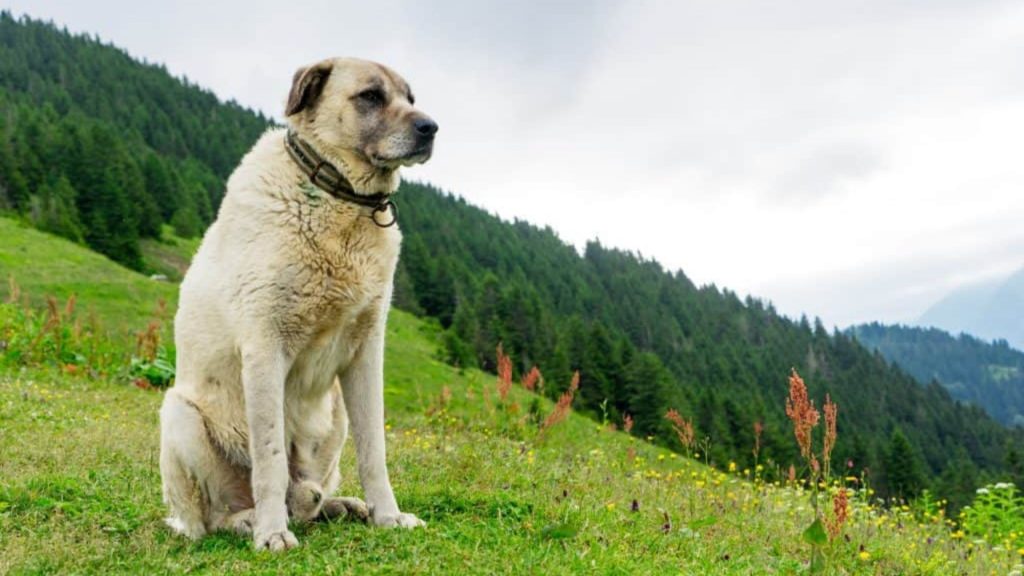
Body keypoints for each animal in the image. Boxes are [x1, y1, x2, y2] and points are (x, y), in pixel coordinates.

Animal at [158, 57, 436, 545]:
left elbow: (374, 451)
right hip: (179, 415)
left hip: (335, 414)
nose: (431, 128)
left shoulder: (366, 353)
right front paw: (271, 534)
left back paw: (340, 506)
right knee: (210, 519)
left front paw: (388, 515)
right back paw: (248, 520)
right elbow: (270, 459)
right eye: (370, 96)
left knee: (308, 497)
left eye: (410, 98)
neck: (337, 198)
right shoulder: (265, 347)